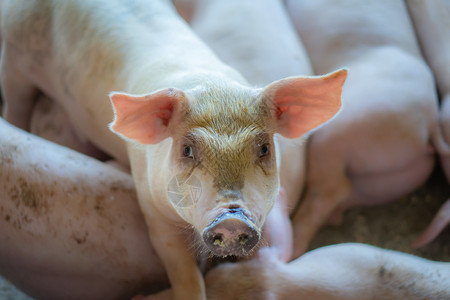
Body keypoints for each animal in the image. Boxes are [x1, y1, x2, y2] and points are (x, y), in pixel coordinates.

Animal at [0, 0, 348, 298]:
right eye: (187, 150)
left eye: (263, 148)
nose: (232, 218)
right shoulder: (151, 209)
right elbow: (182, 270)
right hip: (14, 54)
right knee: (15, 100)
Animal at [284, 0, 442, 258]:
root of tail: (428, 123)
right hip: (390, 181)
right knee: (343, 196)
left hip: (339, 131)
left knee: (331, 189)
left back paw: (292, 248)